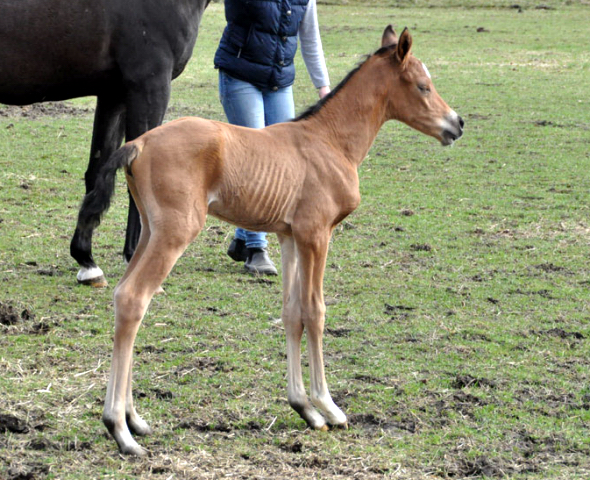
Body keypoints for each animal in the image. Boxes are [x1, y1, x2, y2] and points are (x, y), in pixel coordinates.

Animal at [76, 25, 464, 454]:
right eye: (423, 86)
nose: (457, 123)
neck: (330, 141)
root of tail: (138, 143)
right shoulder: (316, 234)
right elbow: (315, 311)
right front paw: (329, 407)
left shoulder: (290, 237)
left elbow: (292, 313)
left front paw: (305, 408)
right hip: (175, 232)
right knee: (134, 299)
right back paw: (120, 430)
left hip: (150, 230)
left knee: (124, 297)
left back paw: (135, 420)